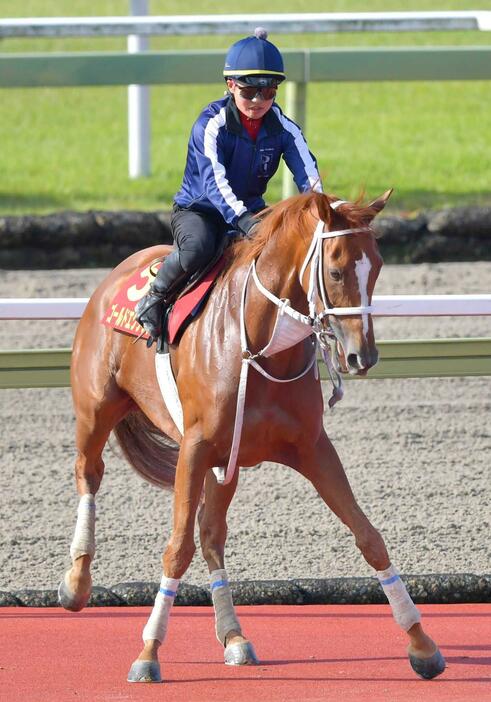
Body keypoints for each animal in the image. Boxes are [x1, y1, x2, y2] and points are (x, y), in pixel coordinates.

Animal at [58, 191, 446, 680]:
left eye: (375, 268)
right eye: (336, 270)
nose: (364, 356)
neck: (258, 346)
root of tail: (115, 275)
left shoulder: (311, 448)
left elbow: (369, 537)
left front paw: (420, 641)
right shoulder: (194, 448)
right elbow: (176, 548)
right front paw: (148, 652)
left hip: (227, 463)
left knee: (211, 534)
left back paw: (234, 636)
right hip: (96, 410)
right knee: (88, 473)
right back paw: (76, 581)